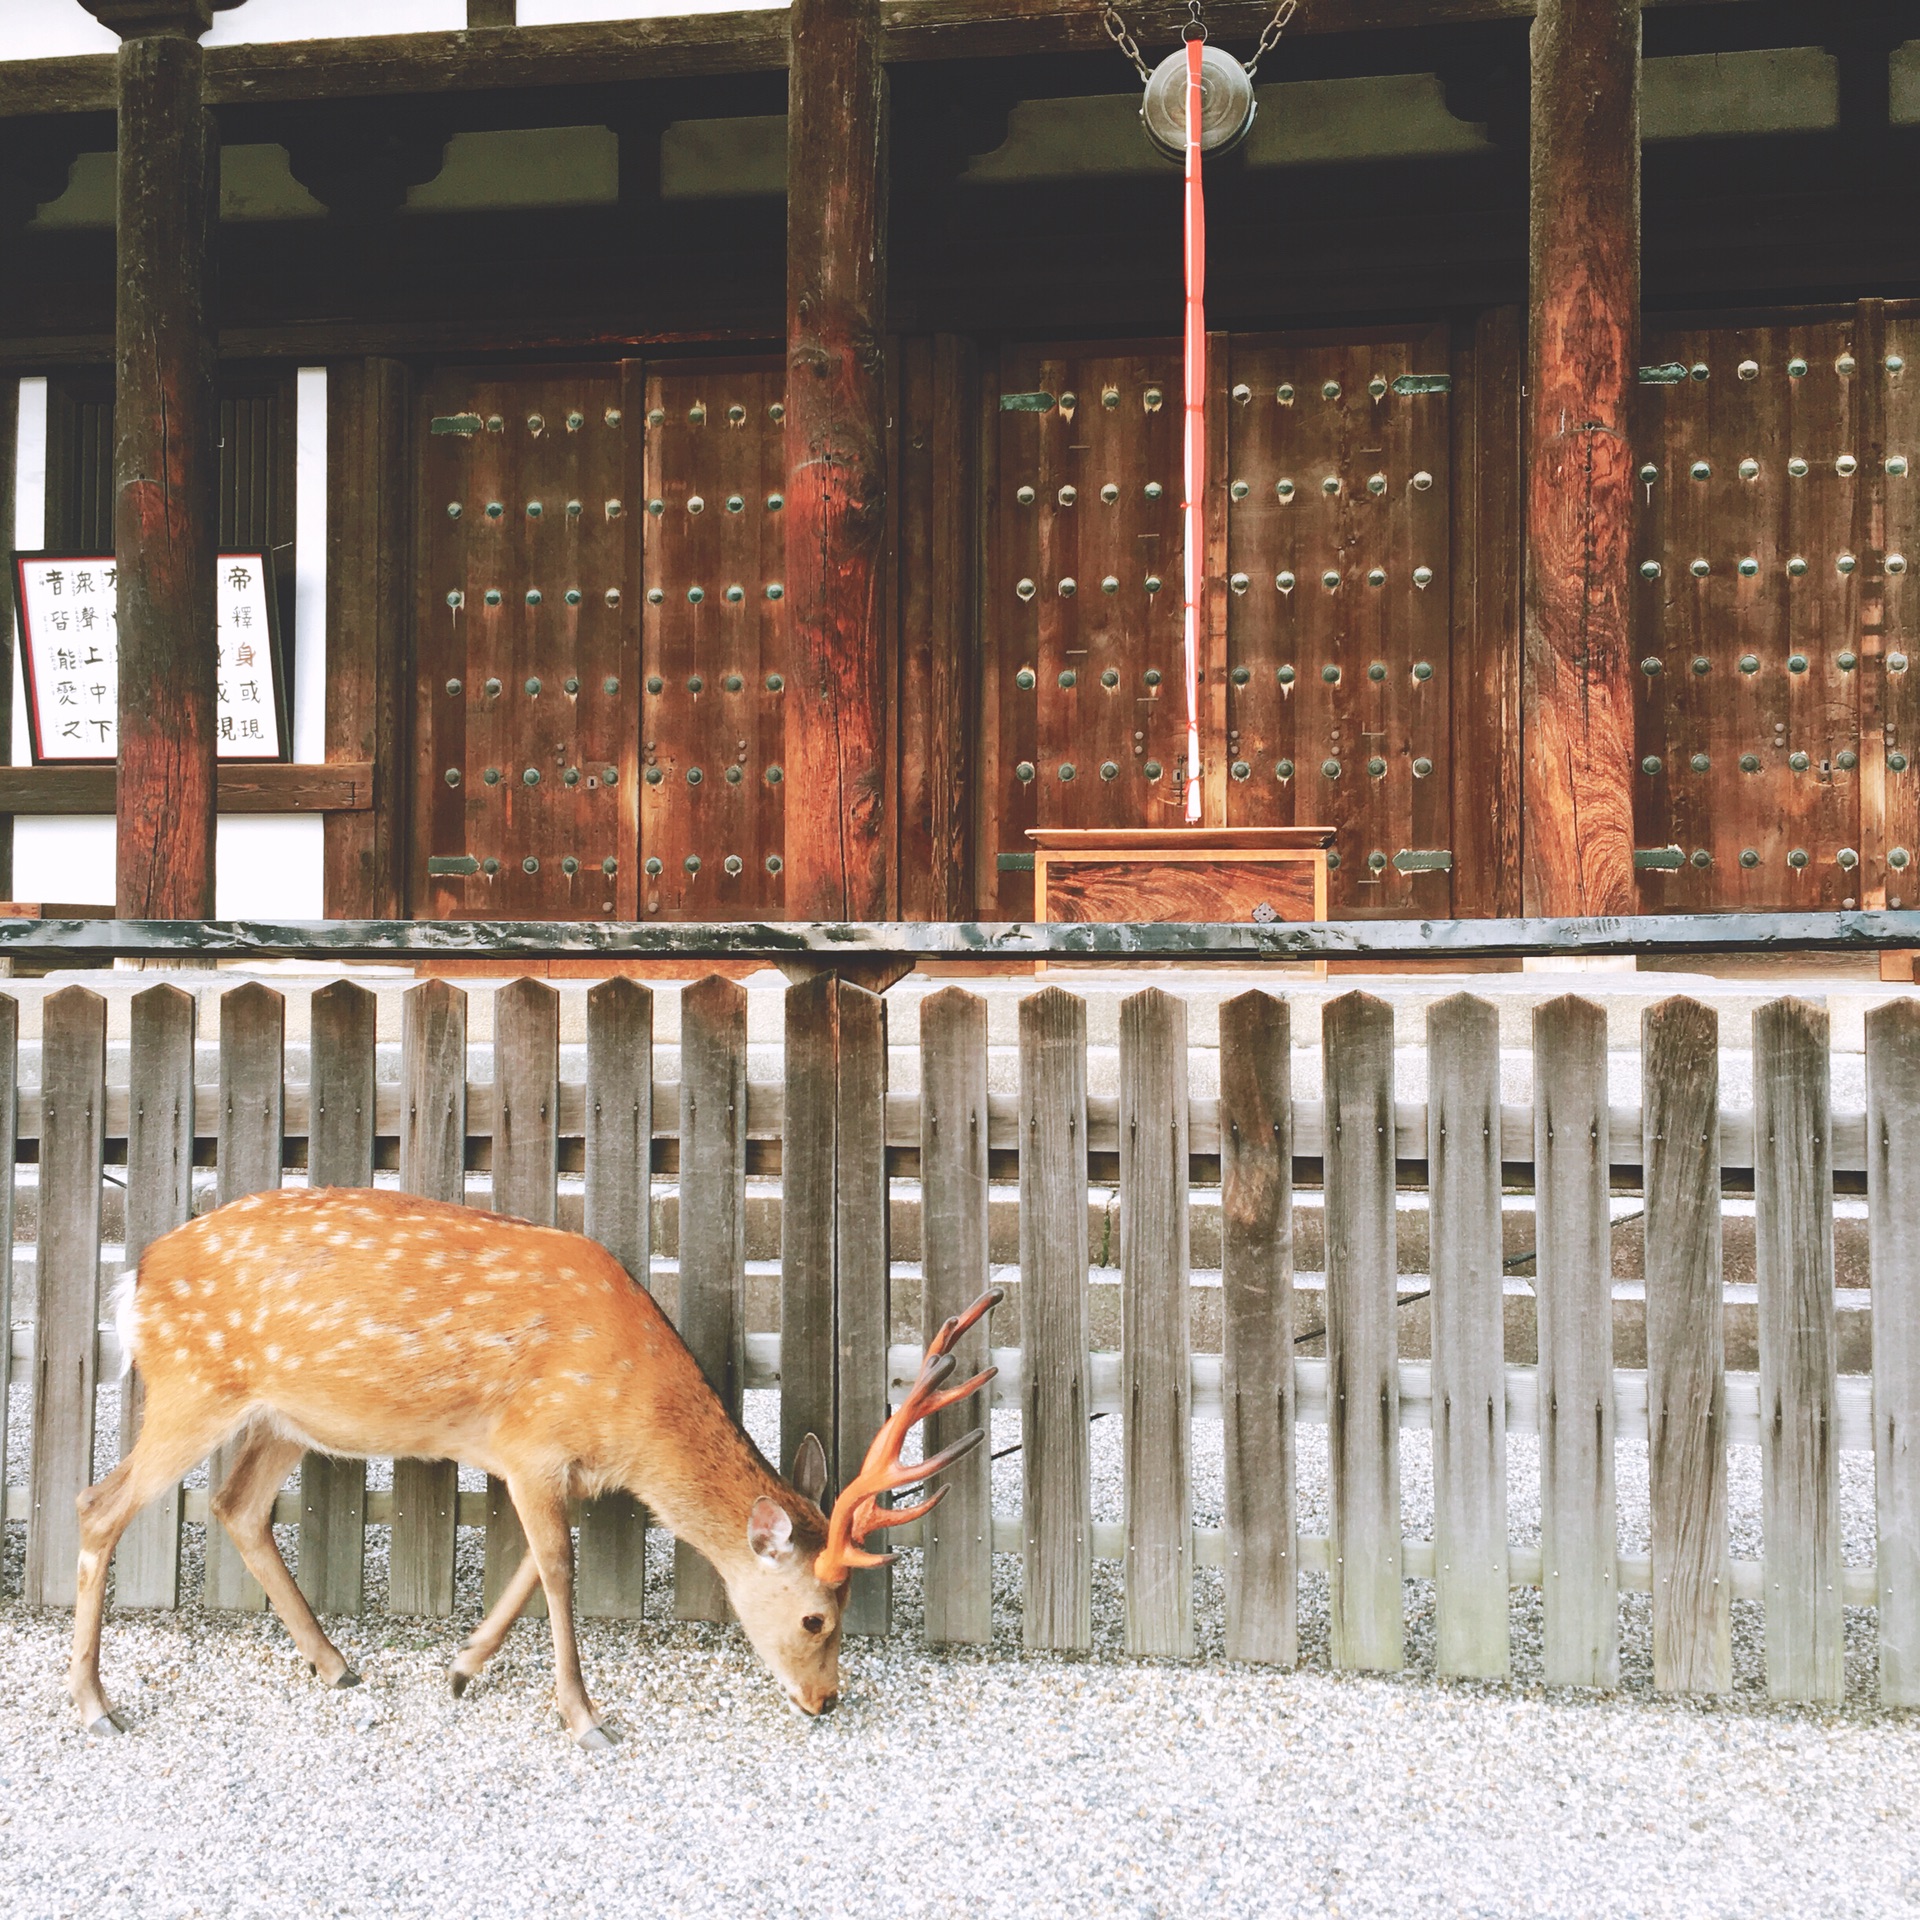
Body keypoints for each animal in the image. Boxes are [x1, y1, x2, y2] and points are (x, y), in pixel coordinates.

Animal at [67, 1182, 998, 1743]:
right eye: (815, 1619)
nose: (825, 1700)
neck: (630, 1413)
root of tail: (134, 1277)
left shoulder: (558, 1471)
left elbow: (529, 1565)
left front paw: (460, 1670)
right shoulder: (531, 1444)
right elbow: (557, 1567)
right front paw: (585, 1717)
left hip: (285, 1414)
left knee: (236, 1505)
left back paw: (334, 1664)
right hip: (192, 1386)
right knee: (100, 1505)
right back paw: (94, 1704)